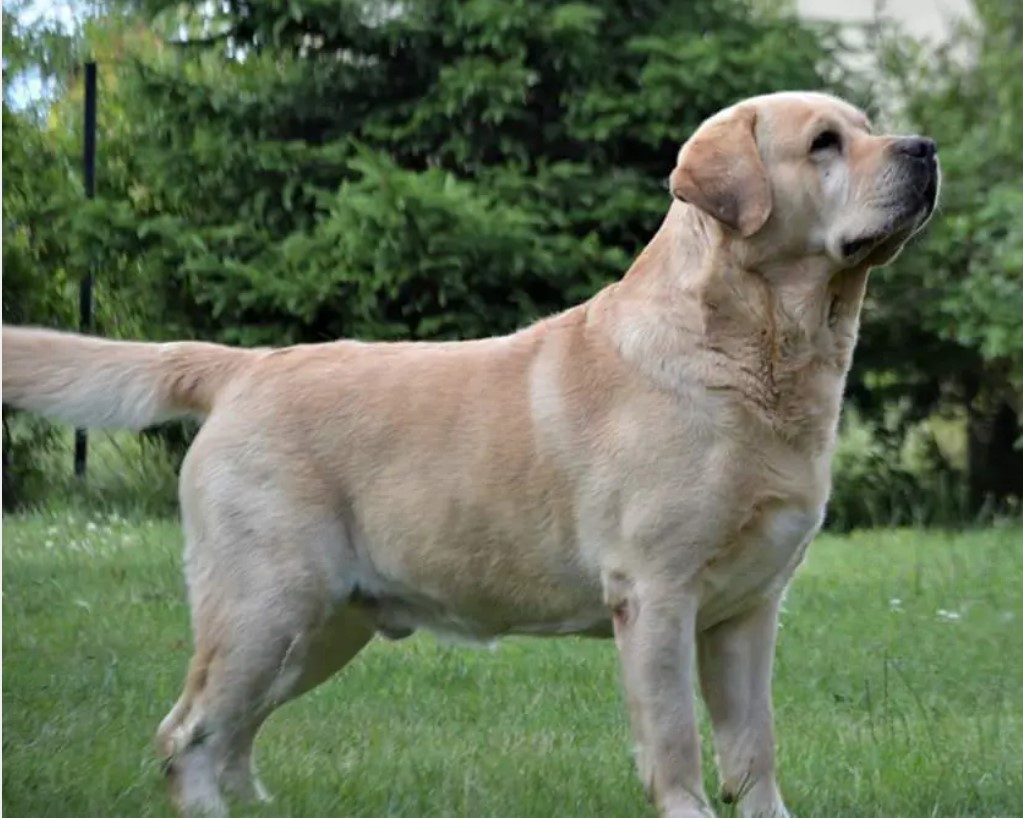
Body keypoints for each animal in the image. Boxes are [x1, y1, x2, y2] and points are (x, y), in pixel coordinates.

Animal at [2, 91, 939, 818]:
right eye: (823, 143)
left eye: (869, 125)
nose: (925, 149)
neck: (760, 353)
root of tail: (244, 365)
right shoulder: (657, 596)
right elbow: (676, 746)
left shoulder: (746, 613)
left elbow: (753, 751)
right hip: (265, 604)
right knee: (186, 734)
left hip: (319, 626)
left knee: (229, 734)